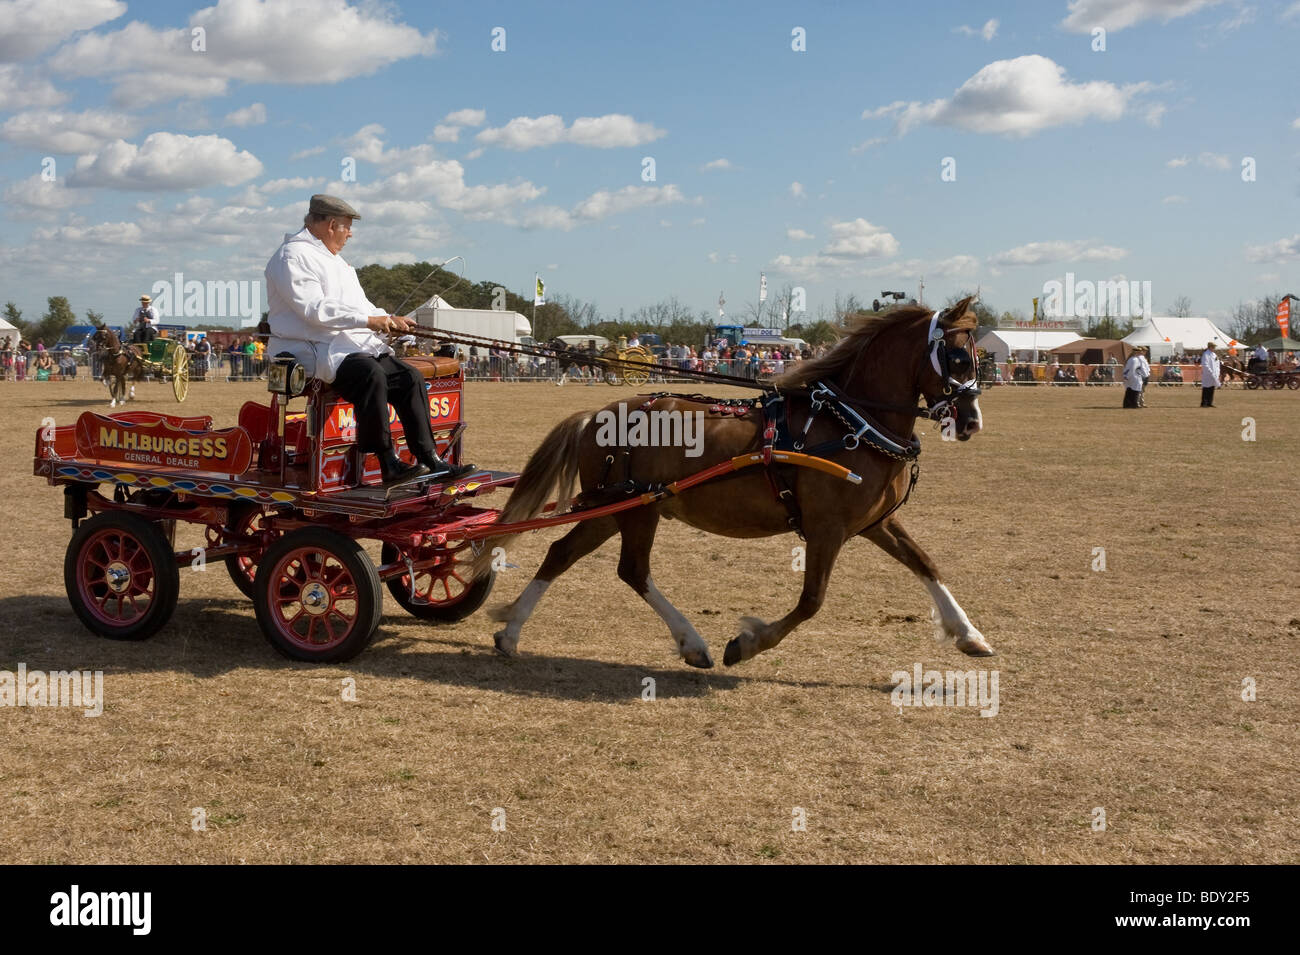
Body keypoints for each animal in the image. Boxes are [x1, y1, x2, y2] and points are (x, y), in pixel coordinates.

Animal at [483, 294, 987, 670]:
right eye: (958, 356)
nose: (971, 422)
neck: (850, 423)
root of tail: (597, 414)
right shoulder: (826, 529)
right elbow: (812, 601)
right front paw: (747, 644)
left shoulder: (874, 523)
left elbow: (925, 563)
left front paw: (968, 633)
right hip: (639, 509)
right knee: (633, 570)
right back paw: (692, 643)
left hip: (613, 508)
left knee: (562, 553)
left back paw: (511, 633)